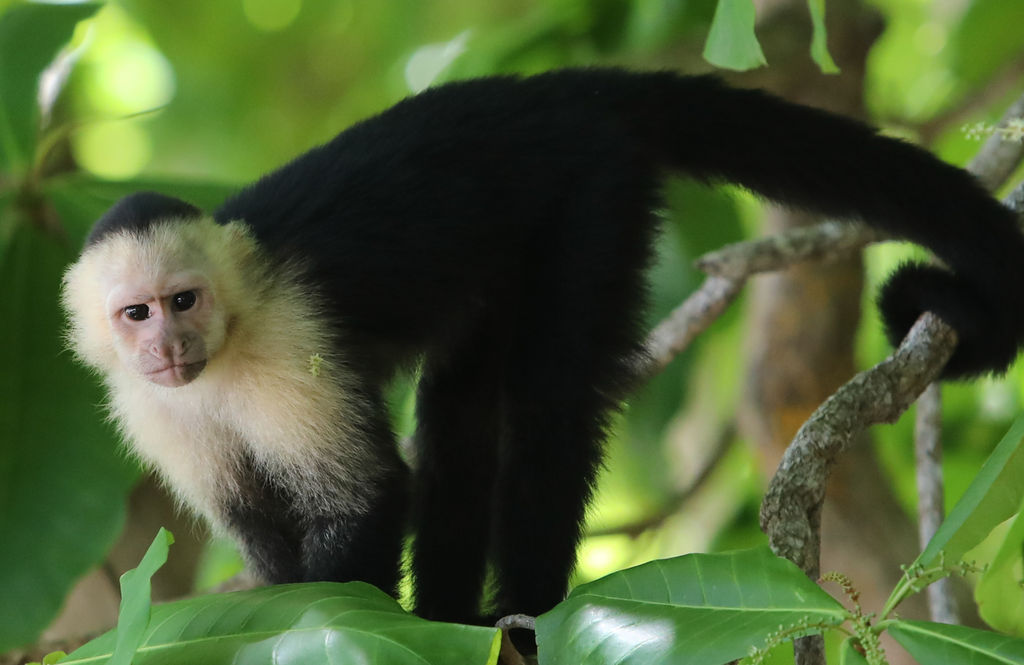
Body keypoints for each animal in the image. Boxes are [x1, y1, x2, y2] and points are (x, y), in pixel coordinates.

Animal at [61, 68, 1024, 626]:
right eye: (136, 313)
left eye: (183, 298)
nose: (169, 342)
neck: (221, 354)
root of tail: (554, 91)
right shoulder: (152, 409)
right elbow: (261, 528)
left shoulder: (285, 340)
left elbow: (365, 499)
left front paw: (345, 618)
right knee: (462, 420)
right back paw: (451, 618)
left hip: (590, 190)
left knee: (547, 407)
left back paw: (521, 615)